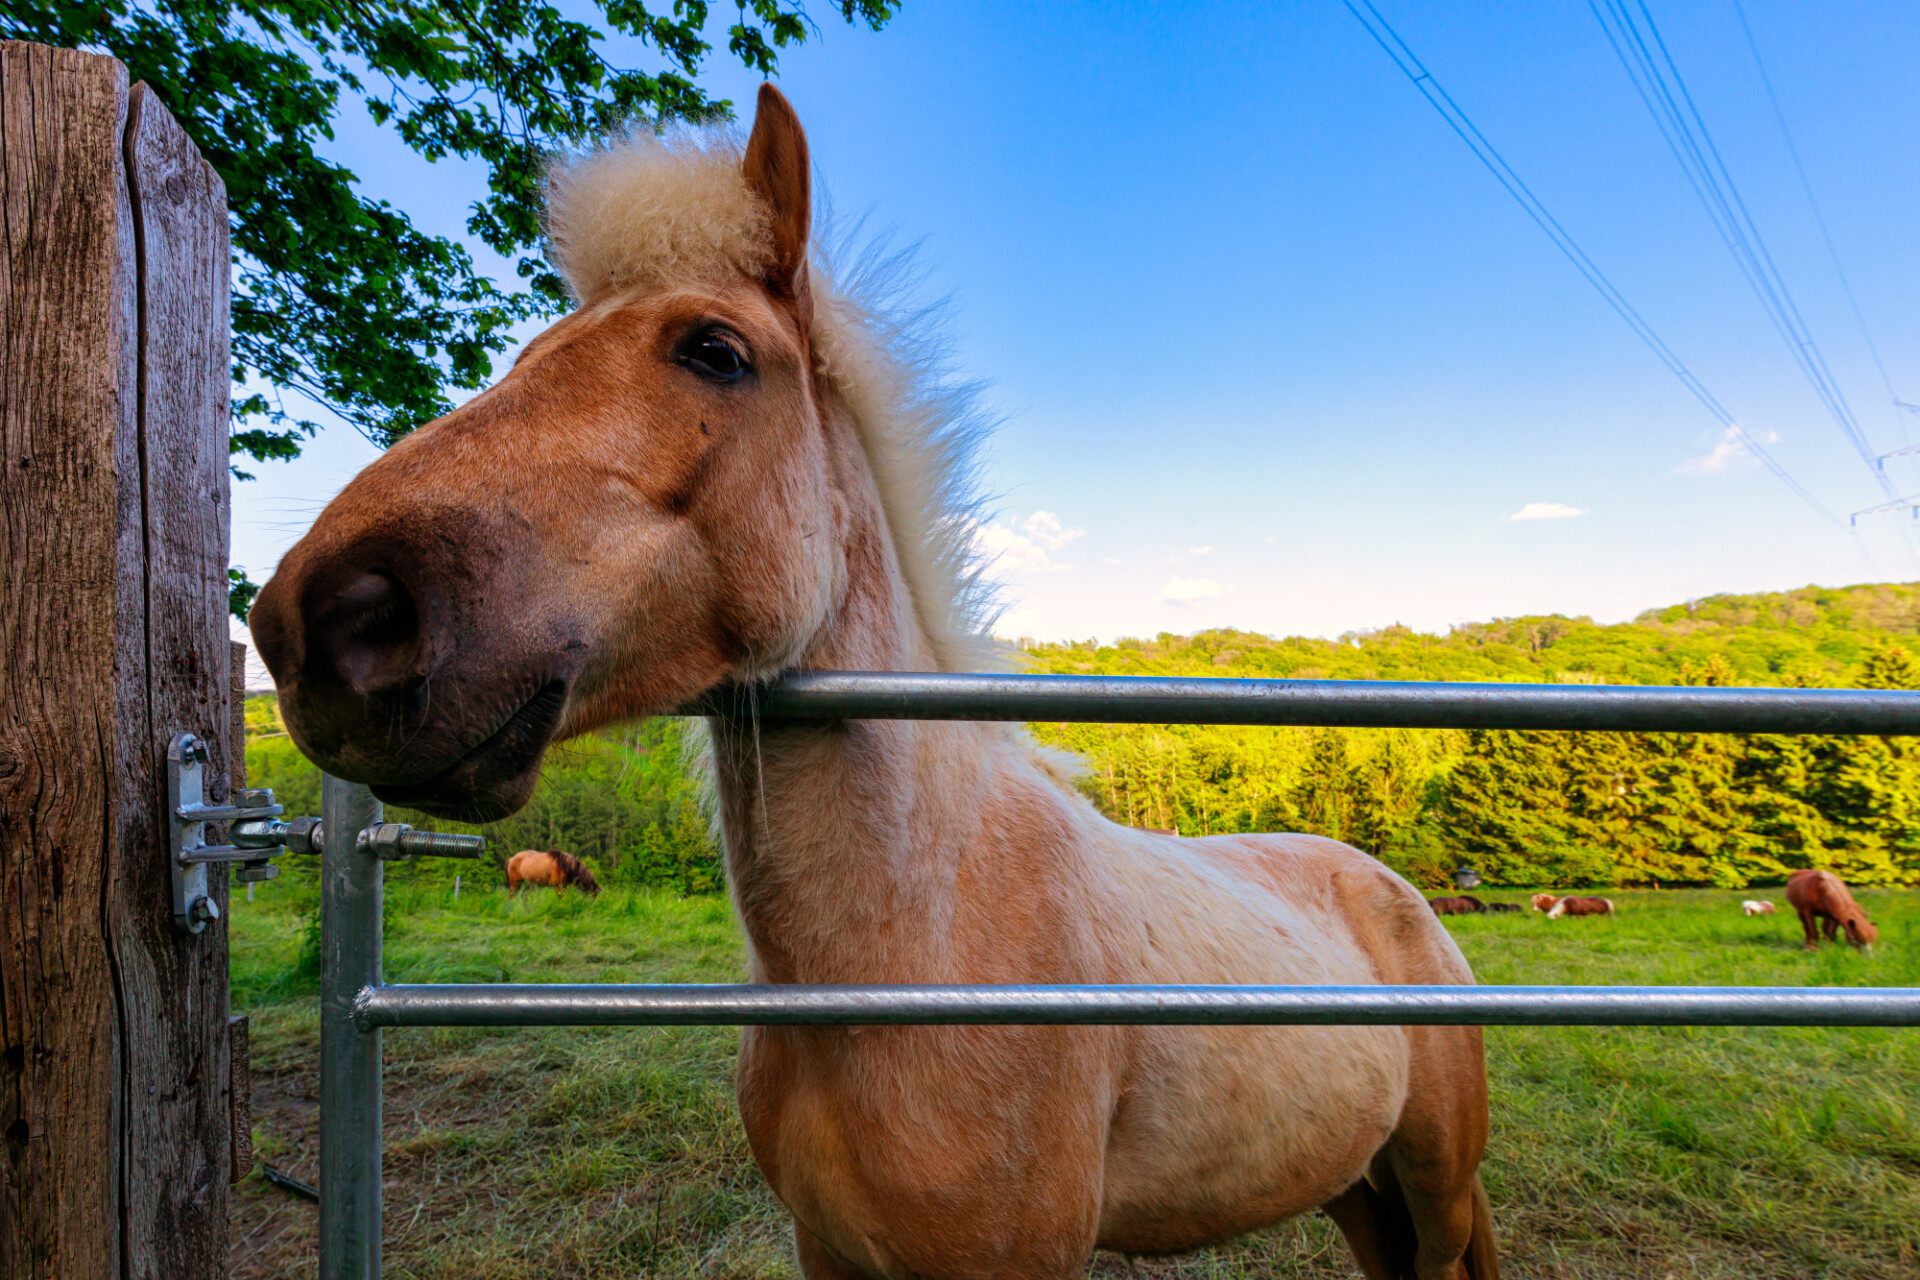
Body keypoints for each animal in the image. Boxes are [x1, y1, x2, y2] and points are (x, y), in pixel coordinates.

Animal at [243, 84, 1497, 1274]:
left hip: (1434, 1183)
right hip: (1353, 1186)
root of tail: (1397, 890)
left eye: (714, 349)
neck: (910, 947)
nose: (322, 621)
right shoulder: (828, 1247)